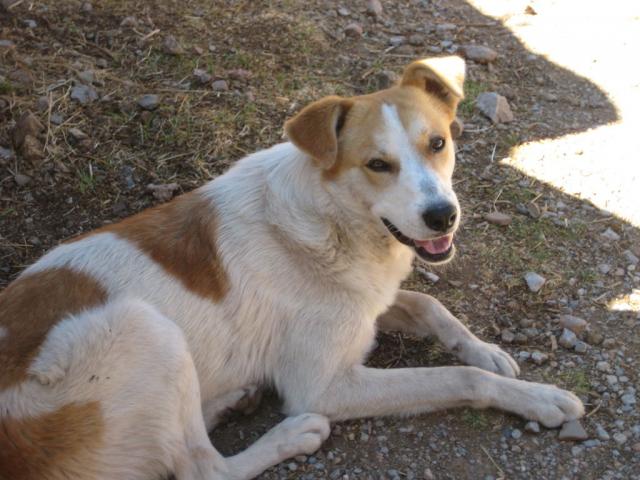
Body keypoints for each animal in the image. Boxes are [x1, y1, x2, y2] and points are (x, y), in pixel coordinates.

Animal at [0, 57, 584, 480]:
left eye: (437, 143)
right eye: (377, 165)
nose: (443, 215)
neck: (332, 219)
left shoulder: (370, 300)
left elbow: (430, 304)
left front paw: (487, 350)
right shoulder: (324, 386)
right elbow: (458, 377)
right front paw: (540, 398)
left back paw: (234, 397)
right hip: (142, 329)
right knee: (202, 469)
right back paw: (290, 436)